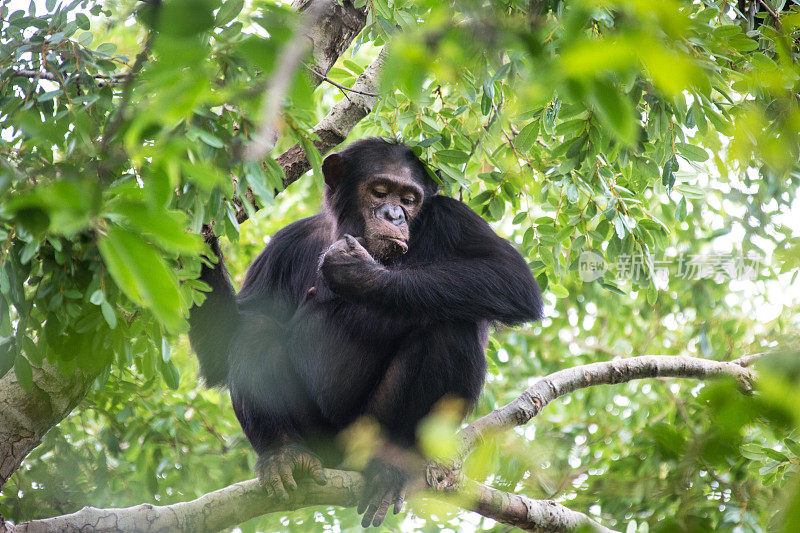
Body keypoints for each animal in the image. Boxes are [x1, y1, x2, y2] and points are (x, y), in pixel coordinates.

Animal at [189, 136, 544, 524]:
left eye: (410, 198)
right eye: (380, 190)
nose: (394, 215)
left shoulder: (453, 216)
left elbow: (509, 274)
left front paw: (358, 273)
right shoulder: (283, 246)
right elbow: (222, 350)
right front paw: (200, 238)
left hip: (368, 431)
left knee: (452, 324)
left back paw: (391, 463)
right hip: (318, 437)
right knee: (256, 330)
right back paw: (285, 453)